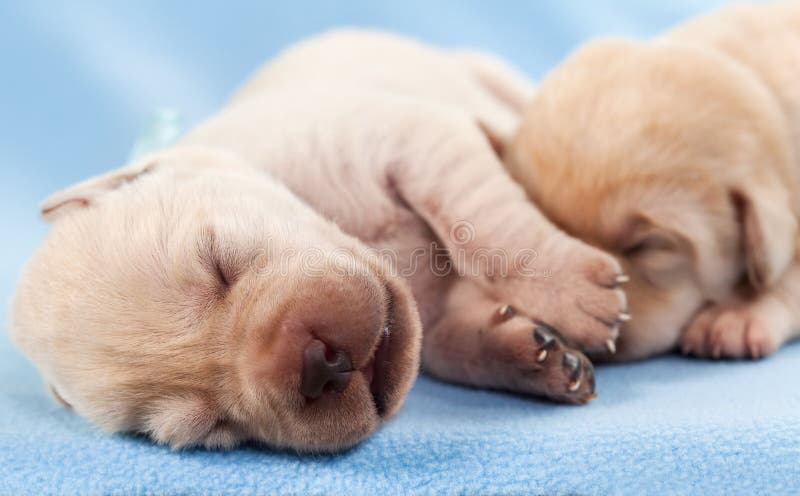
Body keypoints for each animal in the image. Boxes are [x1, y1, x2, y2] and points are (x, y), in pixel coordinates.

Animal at [9, 29, 628, 452]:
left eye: (219, 264)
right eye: (213, 427)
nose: (317, 366)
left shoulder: (414, 137)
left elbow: (486, 225)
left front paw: (574, 294)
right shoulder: (432, 314)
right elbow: (455, 344)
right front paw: (530, 355)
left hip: (487, 75)